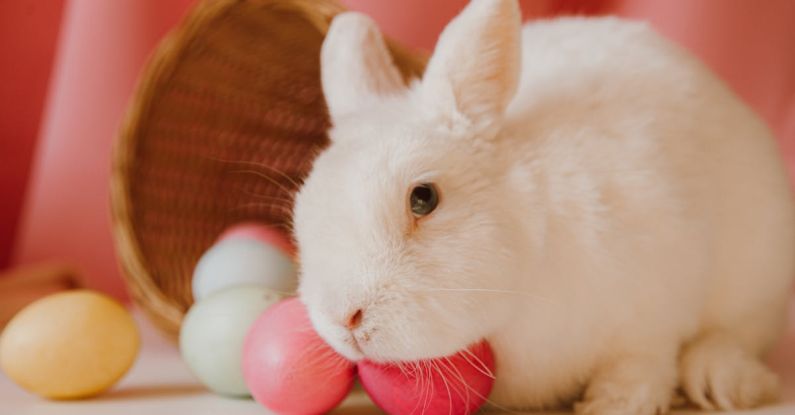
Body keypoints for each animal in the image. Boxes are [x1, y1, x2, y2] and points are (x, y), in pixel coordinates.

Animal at [294, 0, 795, 412]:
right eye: (301, 213)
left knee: (730, 336)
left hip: (757, 277)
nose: (343, 319)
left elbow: (642, 364)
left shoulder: (655, 308)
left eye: (424, 198)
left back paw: (724, 380)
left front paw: (613, 404)